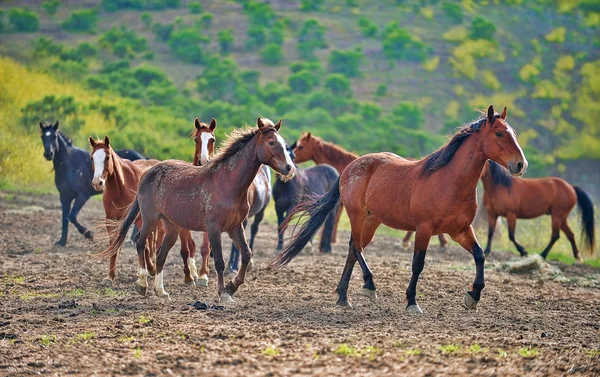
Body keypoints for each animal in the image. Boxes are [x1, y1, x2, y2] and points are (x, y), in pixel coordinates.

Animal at [89, 135, 197, 284]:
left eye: (107, 157)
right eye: (91, 158)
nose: (97, 183)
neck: (120, 188)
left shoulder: (140, 220)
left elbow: (143, 243)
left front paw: (150, 269)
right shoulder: (110, 220)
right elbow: (114, 245)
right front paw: (110, 276)